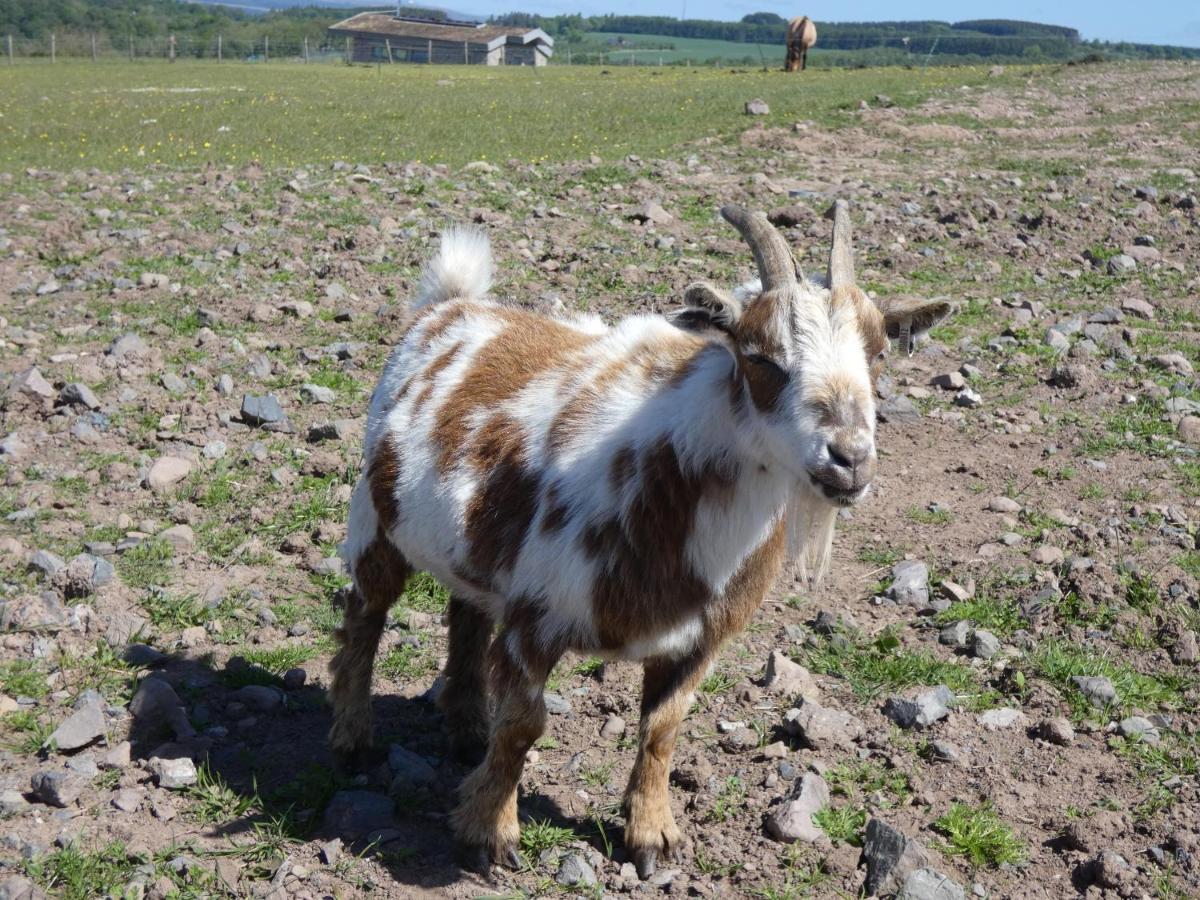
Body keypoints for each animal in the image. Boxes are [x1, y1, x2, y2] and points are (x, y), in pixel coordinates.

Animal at [328, 204, 945, 883]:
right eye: (760, 357)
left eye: (879, 354)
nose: (849, 459)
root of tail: (448, 304)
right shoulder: (536, 613)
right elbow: (523, 724)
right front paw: (490, 832)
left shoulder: (699, 637)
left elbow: (662, 729)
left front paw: (653, 836)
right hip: (376, 521)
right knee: (365, 616)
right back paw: (352, 738)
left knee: (465, 612)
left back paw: (465, 726)